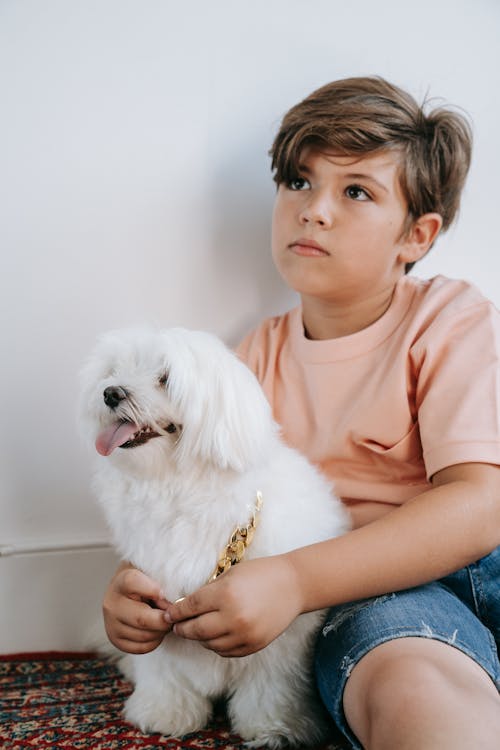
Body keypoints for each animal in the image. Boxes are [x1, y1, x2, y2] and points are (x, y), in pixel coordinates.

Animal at [80, 328, 350, 750]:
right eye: (114, 370)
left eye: (165, 378)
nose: (110, 392)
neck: (179, 487)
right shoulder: (153, 595)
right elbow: (163, 666)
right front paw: (166, 712)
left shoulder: (281, 634)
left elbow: (272, 681)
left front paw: (275, 727)